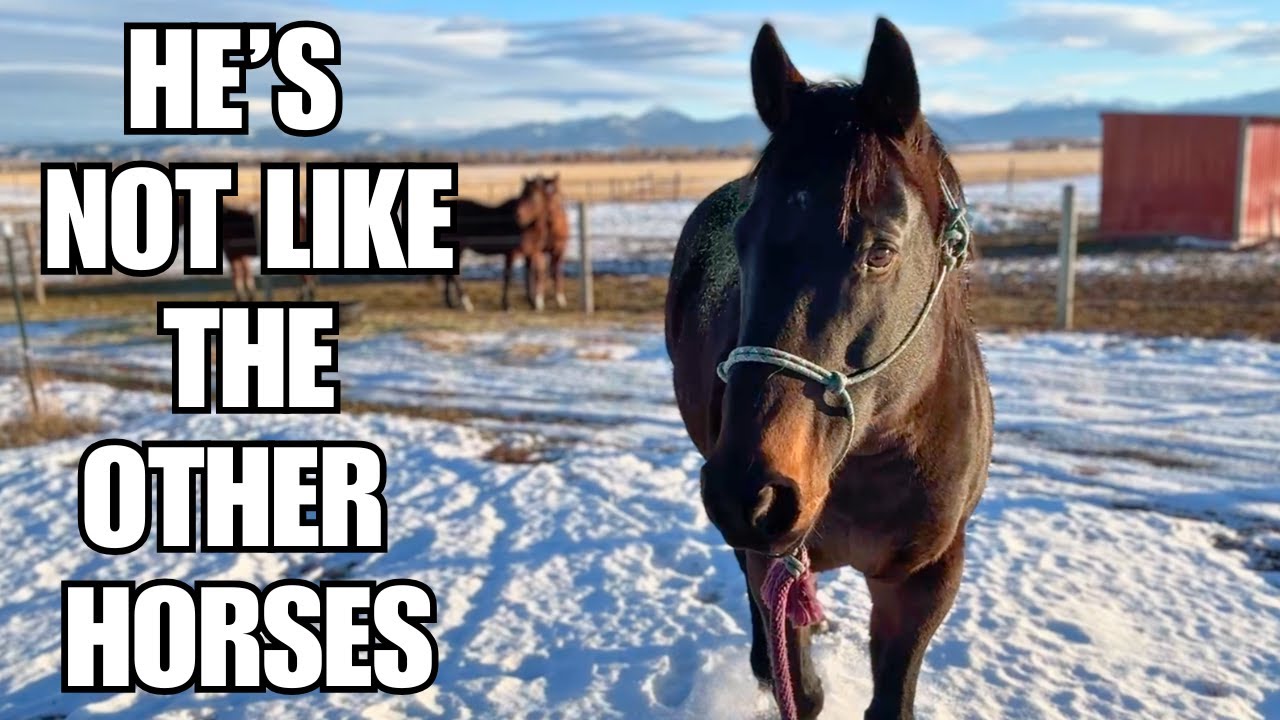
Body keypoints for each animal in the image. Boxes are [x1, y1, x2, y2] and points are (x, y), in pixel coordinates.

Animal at [445, 176, 546, 311]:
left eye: (534, 197)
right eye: (522, 195)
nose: (518, 216)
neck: (526, 229)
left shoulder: (529, 253)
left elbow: (528, 276)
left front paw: (532, 303)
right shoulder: (511, 254)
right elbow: (508, 276)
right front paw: (507, 305)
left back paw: (450, 303)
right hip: (459, 248)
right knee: (453, 275)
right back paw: (466, 303)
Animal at [664, 18, 992, 720]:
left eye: (881, 251)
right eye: (743, 243)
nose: (750, 490)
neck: (876, 452)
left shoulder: (925, 579)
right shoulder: (779, 559)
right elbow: (802, 685)